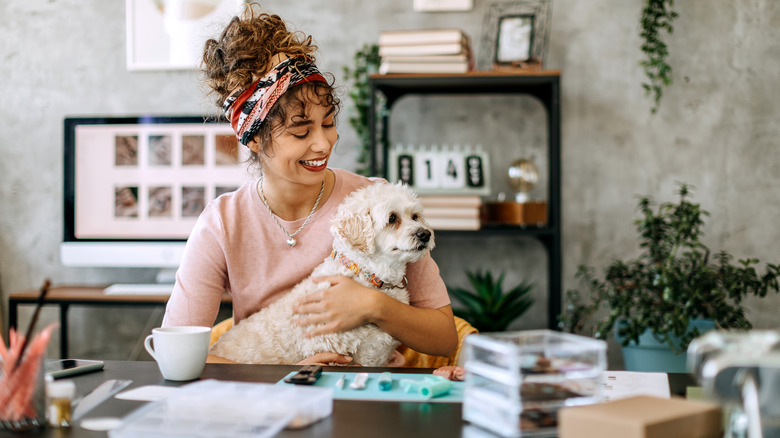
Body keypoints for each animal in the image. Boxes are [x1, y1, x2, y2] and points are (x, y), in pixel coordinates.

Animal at [210, 181, 436, 366]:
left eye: (415, 216)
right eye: (392, 218)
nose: (425, 234)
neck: (367, 275)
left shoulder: (375, 356)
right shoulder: (328, 351)